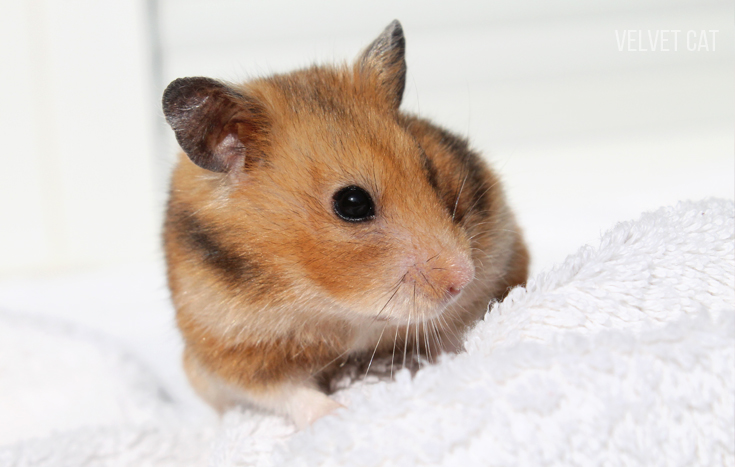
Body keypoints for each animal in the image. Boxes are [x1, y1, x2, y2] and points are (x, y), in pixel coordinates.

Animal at [162, 20, 529, 429]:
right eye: (352, 203)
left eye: (429, 170)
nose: (464, 278)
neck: (331, 305)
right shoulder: (232, 350)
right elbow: (286, 393)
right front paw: (339, 414)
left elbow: (452, 332)